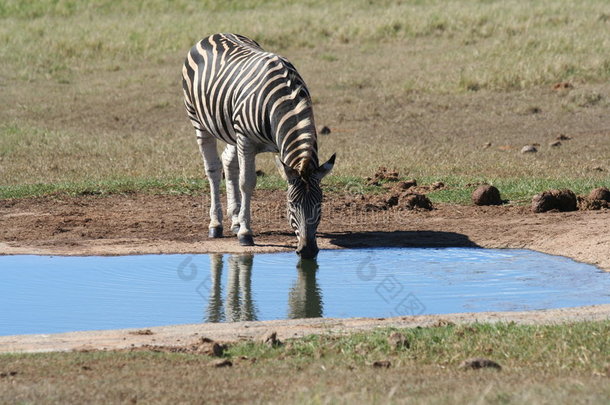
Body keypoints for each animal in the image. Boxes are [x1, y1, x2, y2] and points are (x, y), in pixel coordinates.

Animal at [180, 33, 334, 258]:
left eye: (320, 202)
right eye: (291, 204)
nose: (307, 251)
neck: (284, 100)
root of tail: (213, 35)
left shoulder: (256, 141)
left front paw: (240, 225)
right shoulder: (246, 139)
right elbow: (247, 182)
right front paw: (245, 233)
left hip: (232, 130)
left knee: (228, 162)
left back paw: (235, 220)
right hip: (199, 121)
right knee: (213, 169)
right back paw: (216, 225)